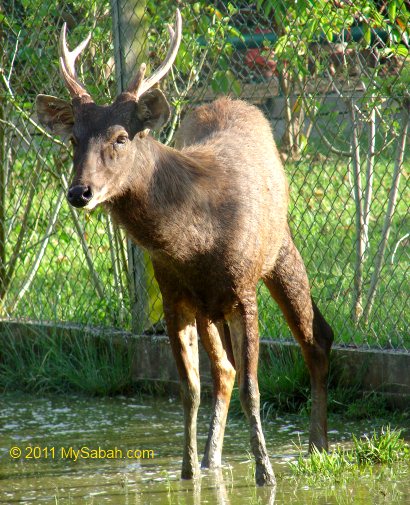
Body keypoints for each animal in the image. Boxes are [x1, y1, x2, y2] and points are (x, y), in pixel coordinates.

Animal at [36, 10, 334, 484]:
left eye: (121, 137)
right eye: (72, 139)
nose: (79, 192)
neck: (196, 242)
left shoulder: (244, 291)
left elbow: (253, 387)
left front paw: (265, 475)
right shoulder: (174, 295)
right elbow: (190, 388)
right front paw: (188, 471)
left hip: (279, 249)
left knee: (317, 339)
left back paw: (316, 446)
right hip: (208, 307)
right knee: (225, 369)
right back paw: (215, 459)